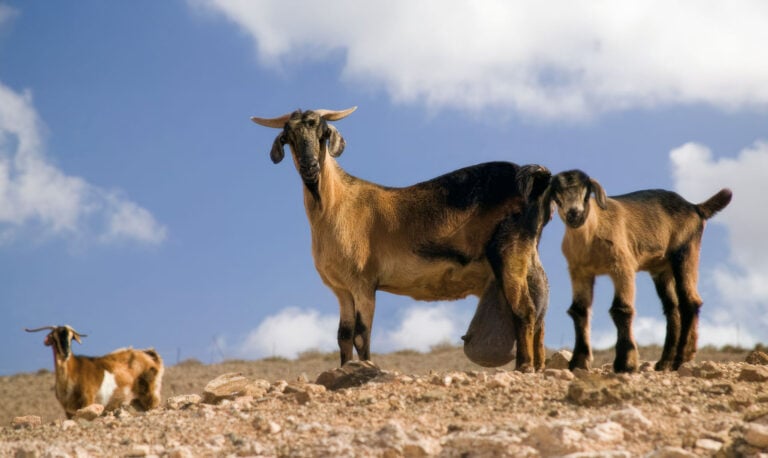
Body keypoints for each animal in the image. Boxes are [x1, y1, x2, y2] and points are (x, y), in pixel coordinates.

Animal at [26, 325, 164, 418]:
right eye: (54, 338)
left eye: (71, 338)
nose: (65, 353)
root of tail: (151, 356)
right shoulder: (68, 411)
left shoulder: (88, 401)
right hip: (137, 401)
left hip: (150, 395)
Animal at [251, 107, 552, 371]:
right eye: (288, 137)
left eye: (323, 133)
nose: (310, 167)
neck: (336, 205)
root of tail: (535, 178)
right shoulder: (342, 290)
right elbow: (343, 337)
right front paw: (345, 369)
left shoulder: (363, 283)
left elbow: (361, 334)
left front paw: (365, 369)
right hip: (529, 257)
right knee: (540, 309)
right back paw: (538, 365)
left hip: (509, 252)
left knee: (524, 310)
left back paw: (524, 367)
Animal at [544, 170, 732, 373]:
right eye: (557, 194)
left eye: (586, 193)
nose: (574, 214)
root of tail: (695, 207)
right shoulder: (579, 272)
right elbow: (579, 311)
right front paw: (578, 362)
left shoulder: (623, 266)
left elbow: (621, 309)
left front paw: (625, 363)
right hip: (662, 269)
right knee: (672, 307)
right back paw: (665, 362)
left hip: (686, 251)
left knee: (689, 301)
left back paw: (680, 359)